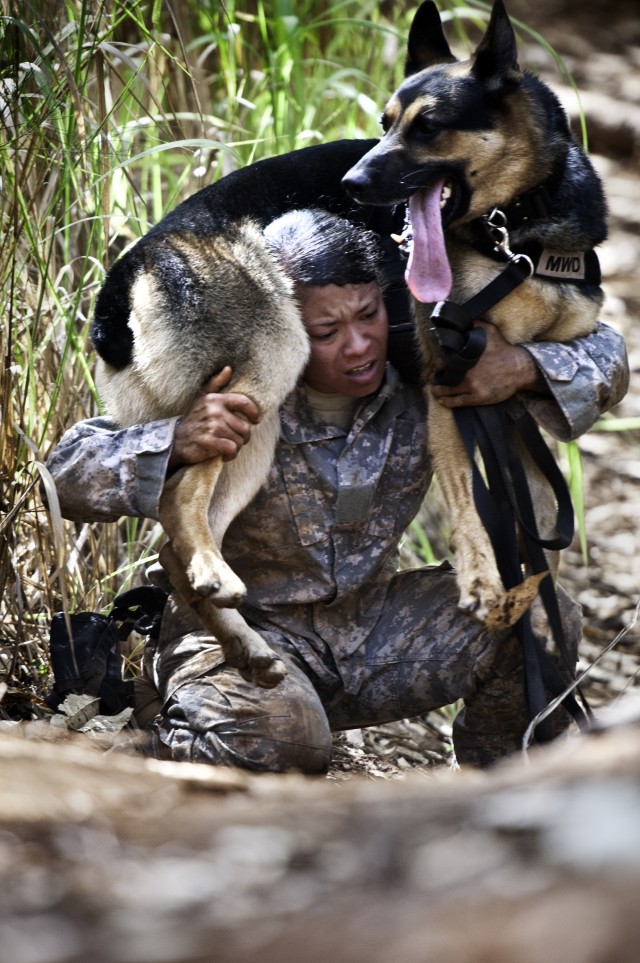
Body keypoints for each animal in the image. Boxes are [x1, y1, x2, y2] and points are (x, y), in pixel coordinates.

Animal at [342, 0, 608, 628]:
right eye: (385, 122)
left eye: (427, 127)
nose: (350, 183)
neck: (518, 232)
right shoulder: (451, 387)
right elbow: (469, 492)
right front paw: (484, 577)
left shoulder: (522, 396)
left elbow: (539, 513)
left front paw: (538, 610)